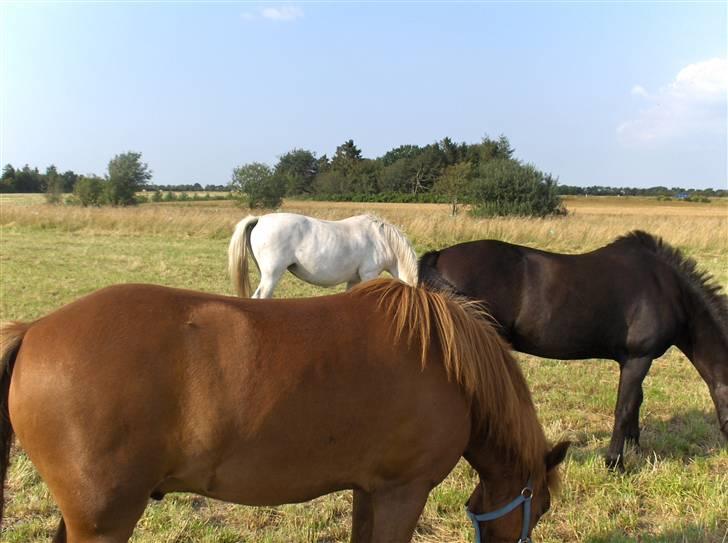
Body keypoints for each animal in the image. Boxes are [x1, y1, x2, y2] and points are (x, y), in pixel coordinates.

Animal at [0, 280, 568, 543]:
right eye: (538, 506)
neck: (449, 368)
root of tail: (35, 331)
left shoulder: (370, 490)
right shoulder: (403, 492)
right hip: (102, 520)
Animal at [418, 232, 728, 470]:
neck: (666, 288)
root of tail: (439, 256)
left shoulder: (635, 360)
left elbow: (636, 402)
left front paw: (635, 448)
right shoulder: (638, 359)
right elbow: (624, 407)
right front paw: (615, 463)